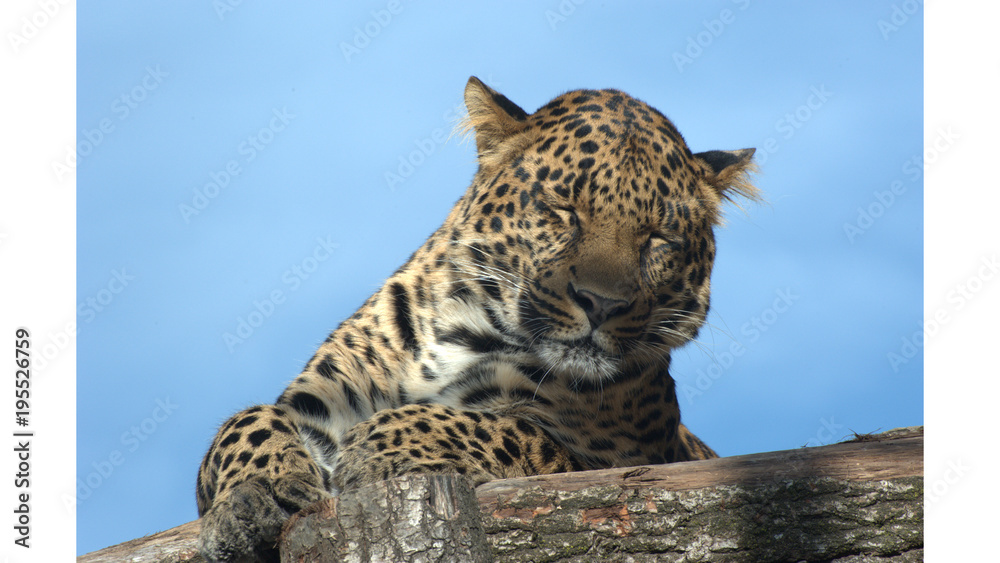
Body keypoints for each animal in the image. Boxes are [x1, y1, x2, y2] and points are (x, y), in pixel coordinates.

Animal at [195, 76, 760, 562]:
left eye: (658, 239)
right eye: (564, 209)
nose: (601, 303)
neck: (460, 333)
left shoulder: (616, 462)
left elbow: (505, 428)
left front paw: (379, 441)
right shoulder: (322, 402)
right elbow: (245, 422)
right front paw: (259, 492)